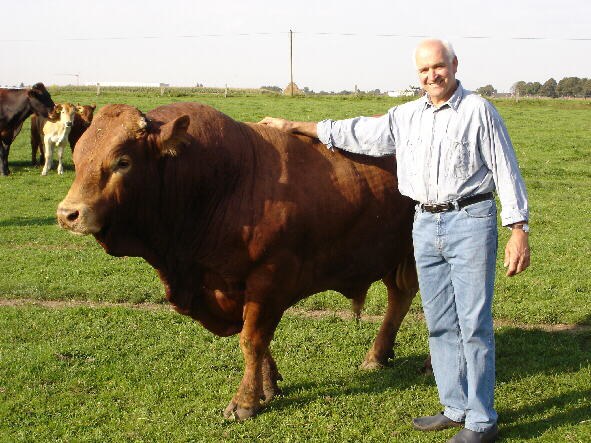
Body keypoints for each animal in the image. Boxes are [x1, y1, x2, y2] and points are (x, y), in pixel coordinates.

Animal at [54, 102, 416, 422]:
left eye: (123, 161)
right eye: (78, 154)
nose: (68, 214)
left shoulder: (269, 277)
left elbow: (252, 339)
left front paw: (244, 402)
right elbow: (255, 337)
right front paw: (267, 386)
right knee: (400, 296)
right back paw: (377, 355)